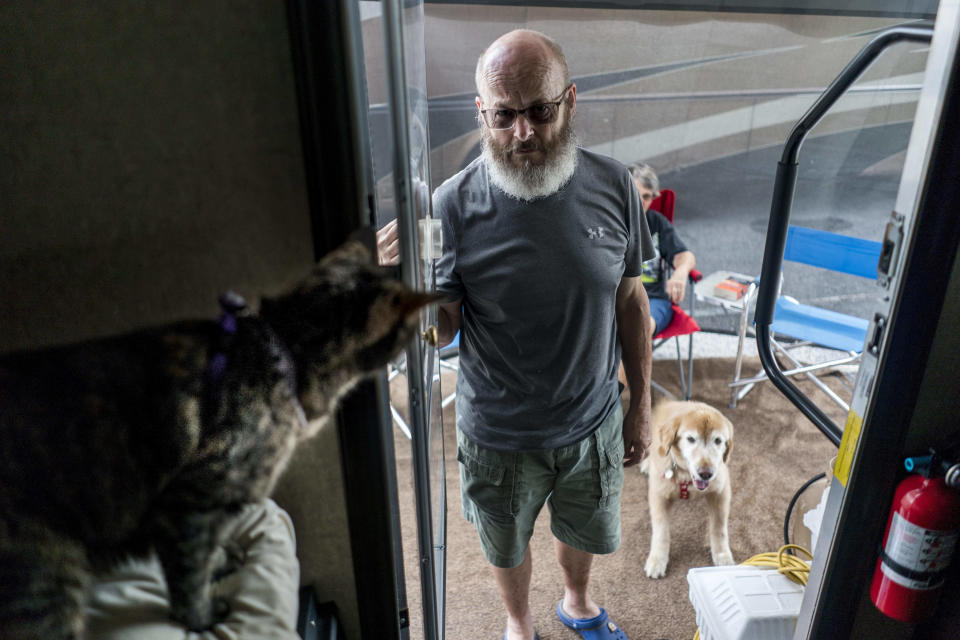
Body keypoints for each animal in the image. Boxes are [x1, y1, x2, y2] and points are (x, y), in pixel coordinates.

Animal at [0, 241, 436, 640]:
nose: (424, 331)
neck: (285, 352)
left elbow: (204, 553)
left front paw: (224, 560)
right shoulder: (192, 502)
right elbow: (189, 575)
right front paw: (203, 618)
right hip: (51, 581)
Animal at [644, 398, 736, 576]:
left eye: (718, 441)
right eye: (691, 439)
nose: (706, 474)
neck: (686, 476)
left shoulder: (721, 491)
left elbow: (719, 527)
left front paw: (722, 554)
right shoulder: (659, 495)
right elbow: (661, 531)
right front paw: (657, 560)